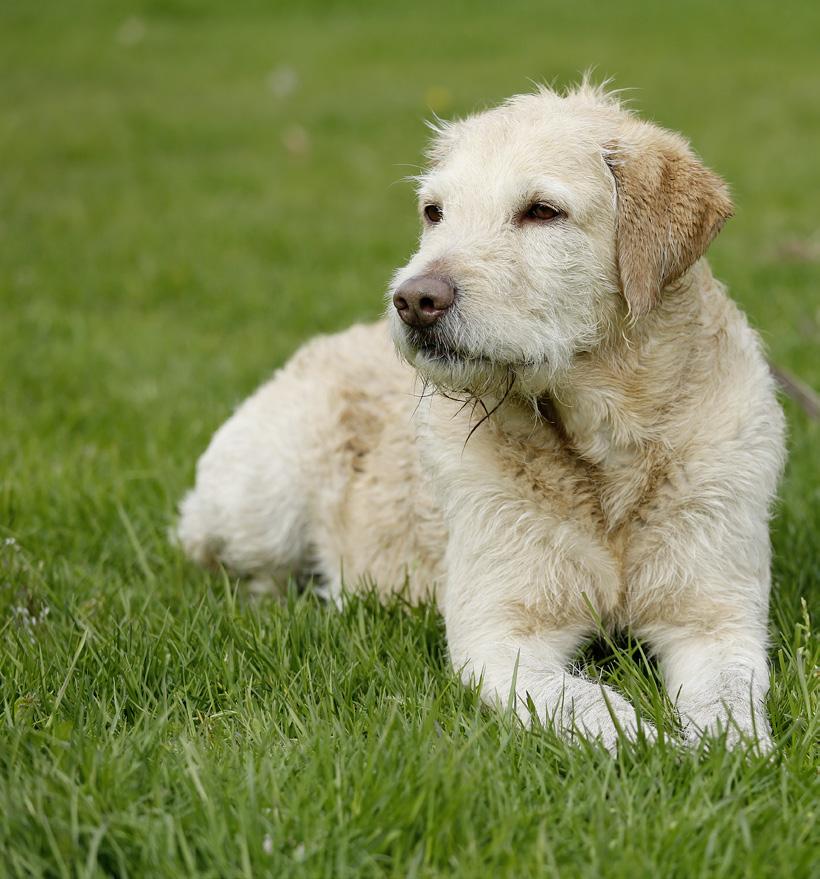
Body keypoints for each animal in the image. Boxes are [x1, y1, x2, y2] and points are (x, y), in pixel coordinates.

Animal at [179, 86, 788, 752]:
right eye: (434, 212)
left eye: (542, 211)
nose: (414, 299)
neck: (605, 451)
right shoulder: (501, 637)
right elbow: (589, 703)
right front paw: (646, 747)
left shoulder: (717, 619)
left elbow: (728, 700)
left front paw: (727, 752)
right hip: (261, 503)